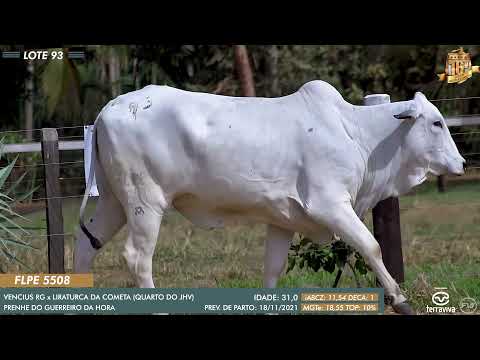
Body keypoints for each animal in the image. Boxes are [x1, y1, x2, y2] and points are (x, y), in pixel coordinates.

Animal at [74, 79, 464, 312]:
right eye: (436, 123)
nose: (461, 163)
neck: (357, 134)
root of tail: (109, 107)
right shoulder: (330, 205)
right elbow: (372, 247)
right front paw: (399, 299)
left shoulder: (282, 220)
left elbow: (273, 269)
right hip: (145, 202)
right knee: (137, 258)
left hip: (114, 202)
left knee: (85, 244)